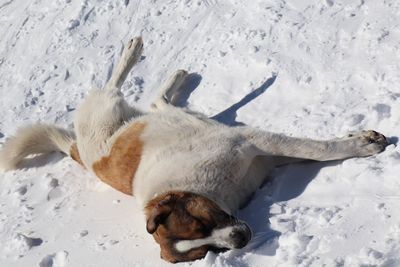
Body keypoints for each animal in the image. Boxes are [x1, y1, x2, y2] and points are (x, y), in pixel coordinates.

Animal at [0, 37, 390, 264]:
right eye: (207, 249)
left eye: (201, 222)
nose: (240, 239)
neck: (207, 190)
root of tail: (78, 150)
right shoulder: (261, 158)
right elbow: (311, 152)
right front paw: (358, 142)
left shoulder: (251, 142)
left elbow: (318, 149)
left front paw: (361, 144)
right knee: (157, 102)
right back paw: (175, 78)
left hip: (106, 110)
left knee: (113, 85)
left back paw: (134, 50)